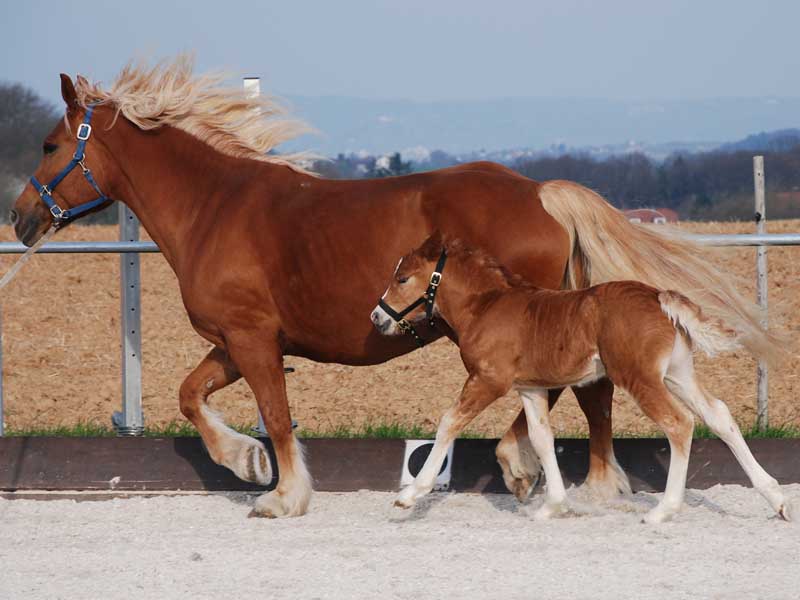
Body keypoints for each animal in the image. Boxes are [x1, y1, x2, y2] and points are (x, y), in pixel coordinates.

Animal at [372, 234, 792, 524]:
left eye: (403, 278)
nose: (377, 318)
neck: (486, 307)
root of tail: (658, 297)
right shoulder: (530, 388)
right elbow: (541, 438)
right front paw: (553, 507)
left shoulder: (489, 380)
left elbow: (449, 423)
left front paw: (410, 495)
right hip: (678, 374)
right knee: (720, 417)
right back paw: (777, 499)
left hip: (640, 378)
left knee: (679, 423)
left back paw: (663, 511)